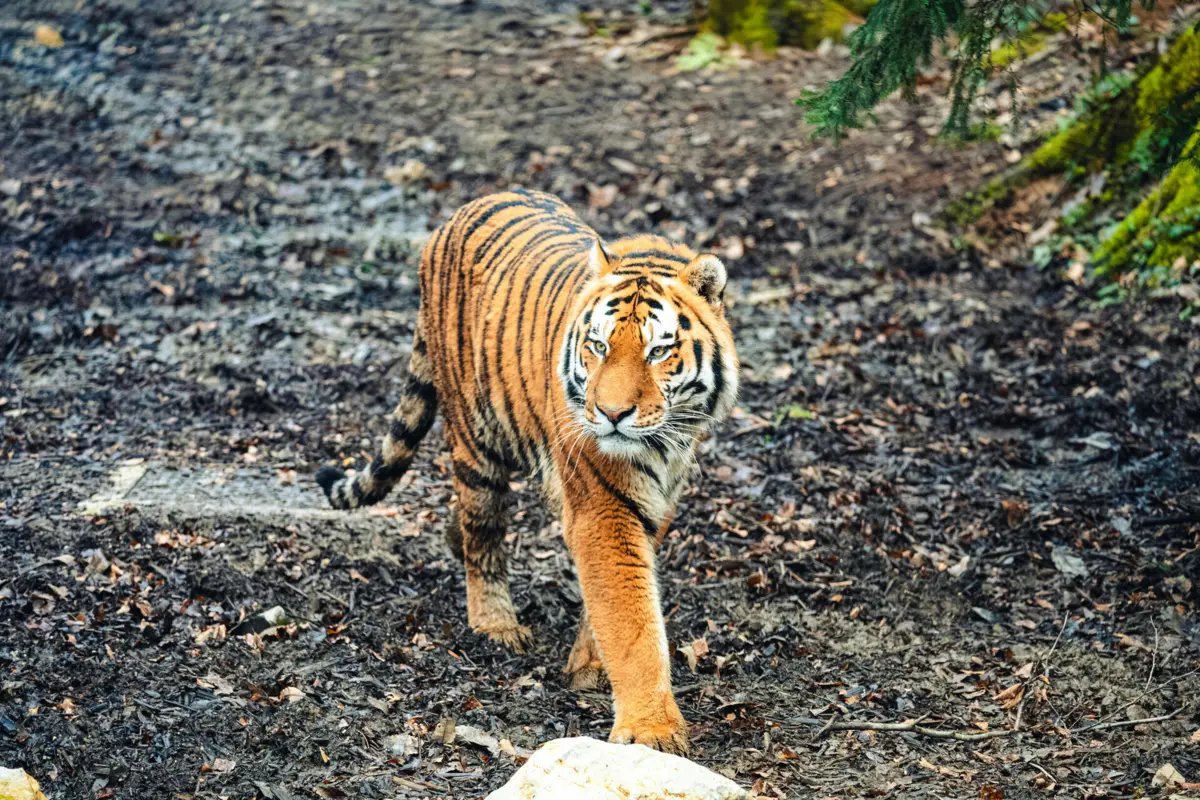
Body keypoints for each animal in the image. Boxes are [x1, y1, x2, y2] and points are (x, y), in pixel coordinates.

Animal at [316, 189, 738, 753]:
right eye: (599, 345)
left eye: (658, 351)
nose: (611, 414)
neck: (664, 441)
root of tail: (456, 215)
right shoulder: (603, 505)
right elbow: (631, 618)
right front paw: (652, 731)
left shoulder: (658, 498)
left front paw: (589, 667)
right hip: (476, 440)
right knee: (482, 533)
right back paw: (495, 624)